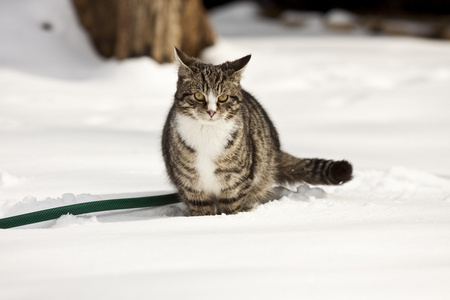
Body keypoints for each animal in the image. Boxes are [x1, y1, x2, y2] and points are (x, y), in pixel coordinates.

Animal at [160, 47, 354, 216]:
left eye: (223, 97)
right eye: (198, 95)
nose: (211, 112)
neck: (207, 133)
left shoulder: (236, 181)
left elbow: (231, 206)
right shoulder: (190, 184)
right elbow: (201, 210)